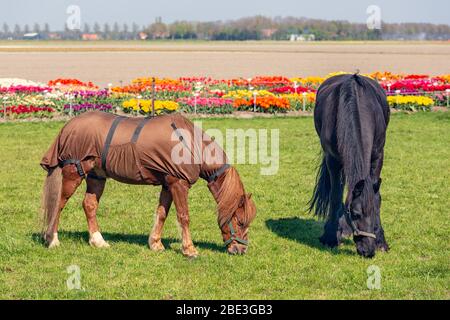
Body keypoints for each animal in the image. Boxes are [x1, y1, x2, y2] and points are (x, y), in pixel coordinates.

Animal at [40, 111, 255, 256]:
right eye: (240, 221)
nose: (241, 249)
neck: (191, 145)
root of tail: (67, 127)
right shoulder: (179, 184)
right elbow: (183, 216)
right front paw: (189, 249)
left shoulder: (168, 183)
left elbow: (162, 213)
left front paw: (156, 243)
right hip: (73, 173)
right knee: (58, 204)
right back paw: (52, 240)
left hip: (96, 177)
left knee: (89, 205)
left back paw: (98, 241)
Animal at [310, 73, 390, 258]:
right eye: (355, 214)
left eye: (375, 211)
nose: (368, 251)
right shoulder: (333, 160)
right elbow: (335, 195)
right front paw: (330, 236)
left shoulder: (378, 156)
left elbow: (376, 195)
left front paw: (381, 240)